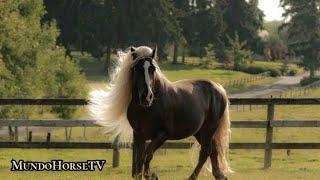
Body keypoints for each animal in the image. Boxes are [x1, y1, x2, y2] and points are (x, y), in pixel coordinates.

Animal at [89, 46, 231, 180]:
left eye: (152, 69)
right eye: (137, 68)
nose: (147, 97)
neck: (148, 108)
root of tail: (218, 88)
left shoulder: (162, 135)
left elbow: (147, 155)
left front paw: (151, 176)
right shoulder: (139, 135)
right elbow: (139, 160)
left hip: (209, 129)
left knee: (205, 152)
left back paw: (193, 177)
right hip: (199, 132)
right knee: (213, 150)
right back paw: (220, 176)